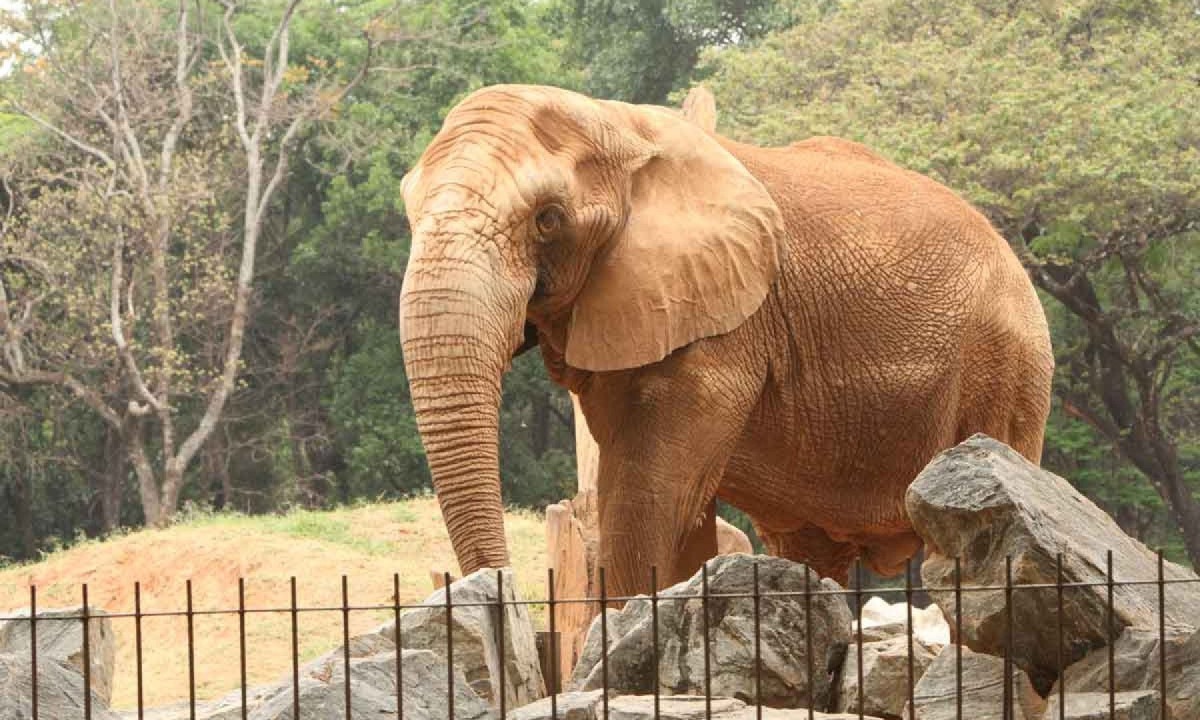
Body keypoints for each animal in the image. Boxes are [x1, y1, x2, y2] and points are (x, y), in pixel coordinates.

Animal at [397, 84, 1054, 598]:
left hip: (1006, 364)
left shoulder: (726, 327)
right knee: (810, 550)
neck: (616, 124)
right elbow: (667, 507)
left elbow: (646, 499)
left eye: (548, 218)